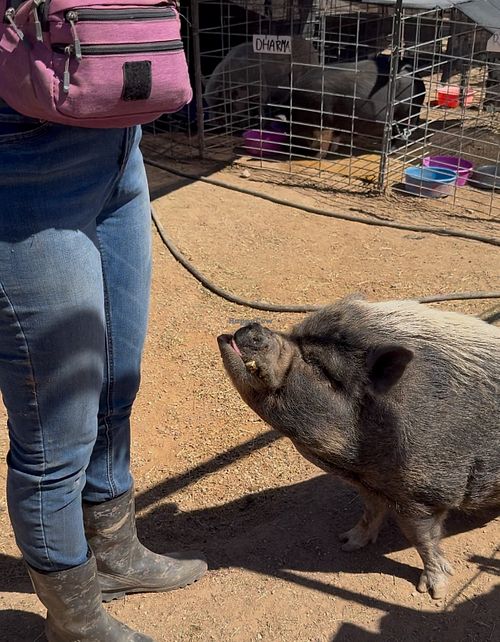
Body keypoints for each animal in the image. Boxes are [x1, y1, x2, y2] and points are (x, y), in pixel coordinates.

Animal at [217, 297, 500, 599]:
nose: (253, 327)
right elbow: (370, 511)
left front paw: (434, 592)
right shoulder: (370, 485)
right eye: (296, 337)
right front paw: (346, 543)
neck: (357, 466)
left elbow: (421, 538)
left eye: (319, 364)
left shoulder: (423, 492)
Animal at [289, 55, 426, 157]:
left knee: (396, 134)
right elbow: (335, 135)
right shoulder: (338, 120)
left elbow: (324, 140)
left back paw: (388, 150)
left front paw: (320, 156)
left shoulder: (325, 117)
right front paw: (334, 149)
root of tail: (419, 80)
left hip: (403, 113)